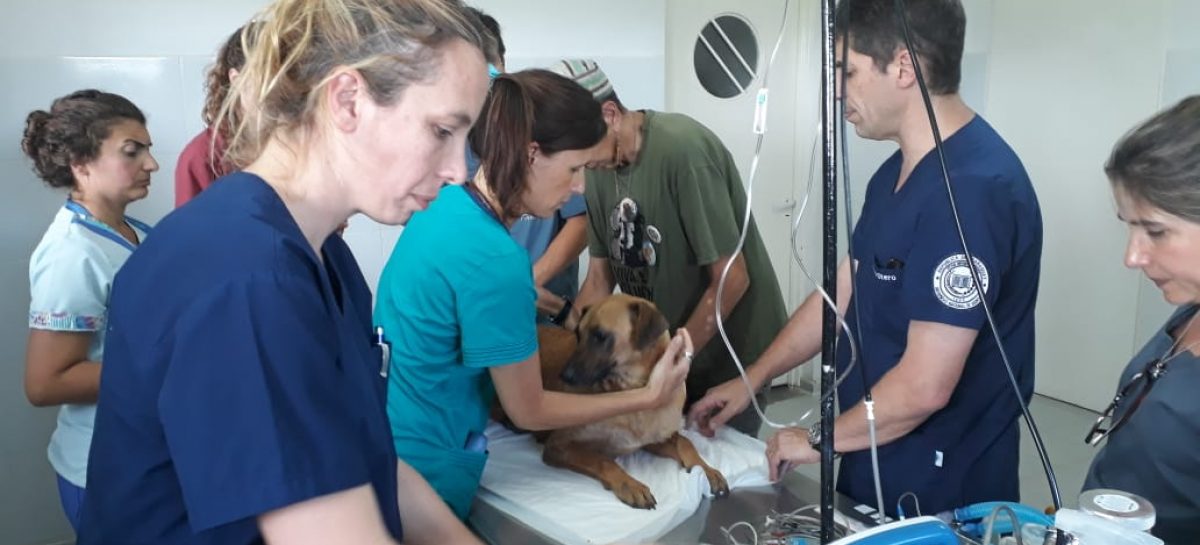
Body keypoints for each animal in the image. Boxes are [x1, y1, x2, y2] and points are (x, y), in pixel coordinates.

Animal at [537, 296, 724, 508]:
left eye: (600, 335)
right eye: (578, 334)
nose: (564, 376)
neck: (631, 391)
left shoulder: (650, 441)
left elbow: (685, 441)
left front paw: (706, 470)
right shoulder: (558, 445)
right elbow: (603, 460)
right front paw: (630, 484)